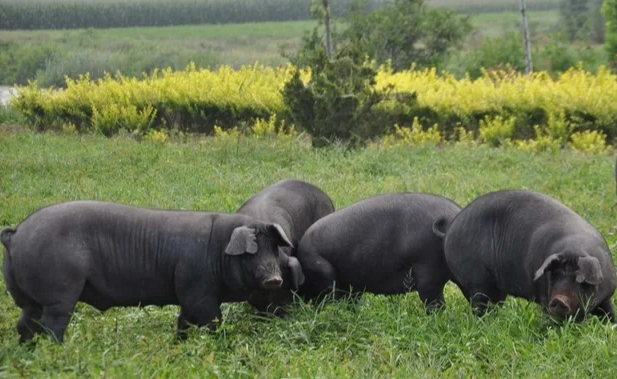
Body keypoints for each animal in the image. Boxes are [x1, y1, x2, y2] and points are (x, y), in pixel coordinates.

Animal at [0, 202, 294, 344]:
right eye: (251, 252)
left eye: (273, 248)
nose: (275, 278)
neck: (217, 249)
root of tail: (15, 233)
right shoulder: (198, 291)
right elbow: (212, 322)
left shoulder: (186, 294)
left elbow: (183, 322)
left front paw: (178, 345)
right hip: (59, 292)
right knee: (51, 325)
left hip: (28, 298)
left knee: (25, 323)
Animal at [442, 189, 616, 322]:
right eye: (555, 275)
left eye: (579, 280)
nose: (559, 299)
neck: (574, 248)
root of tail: (451, 229)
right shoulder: (544, 294)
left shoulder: (606, 296)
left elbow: (608, 312)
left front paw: (610, 326)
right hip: (477, 280)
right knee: (480, 304)